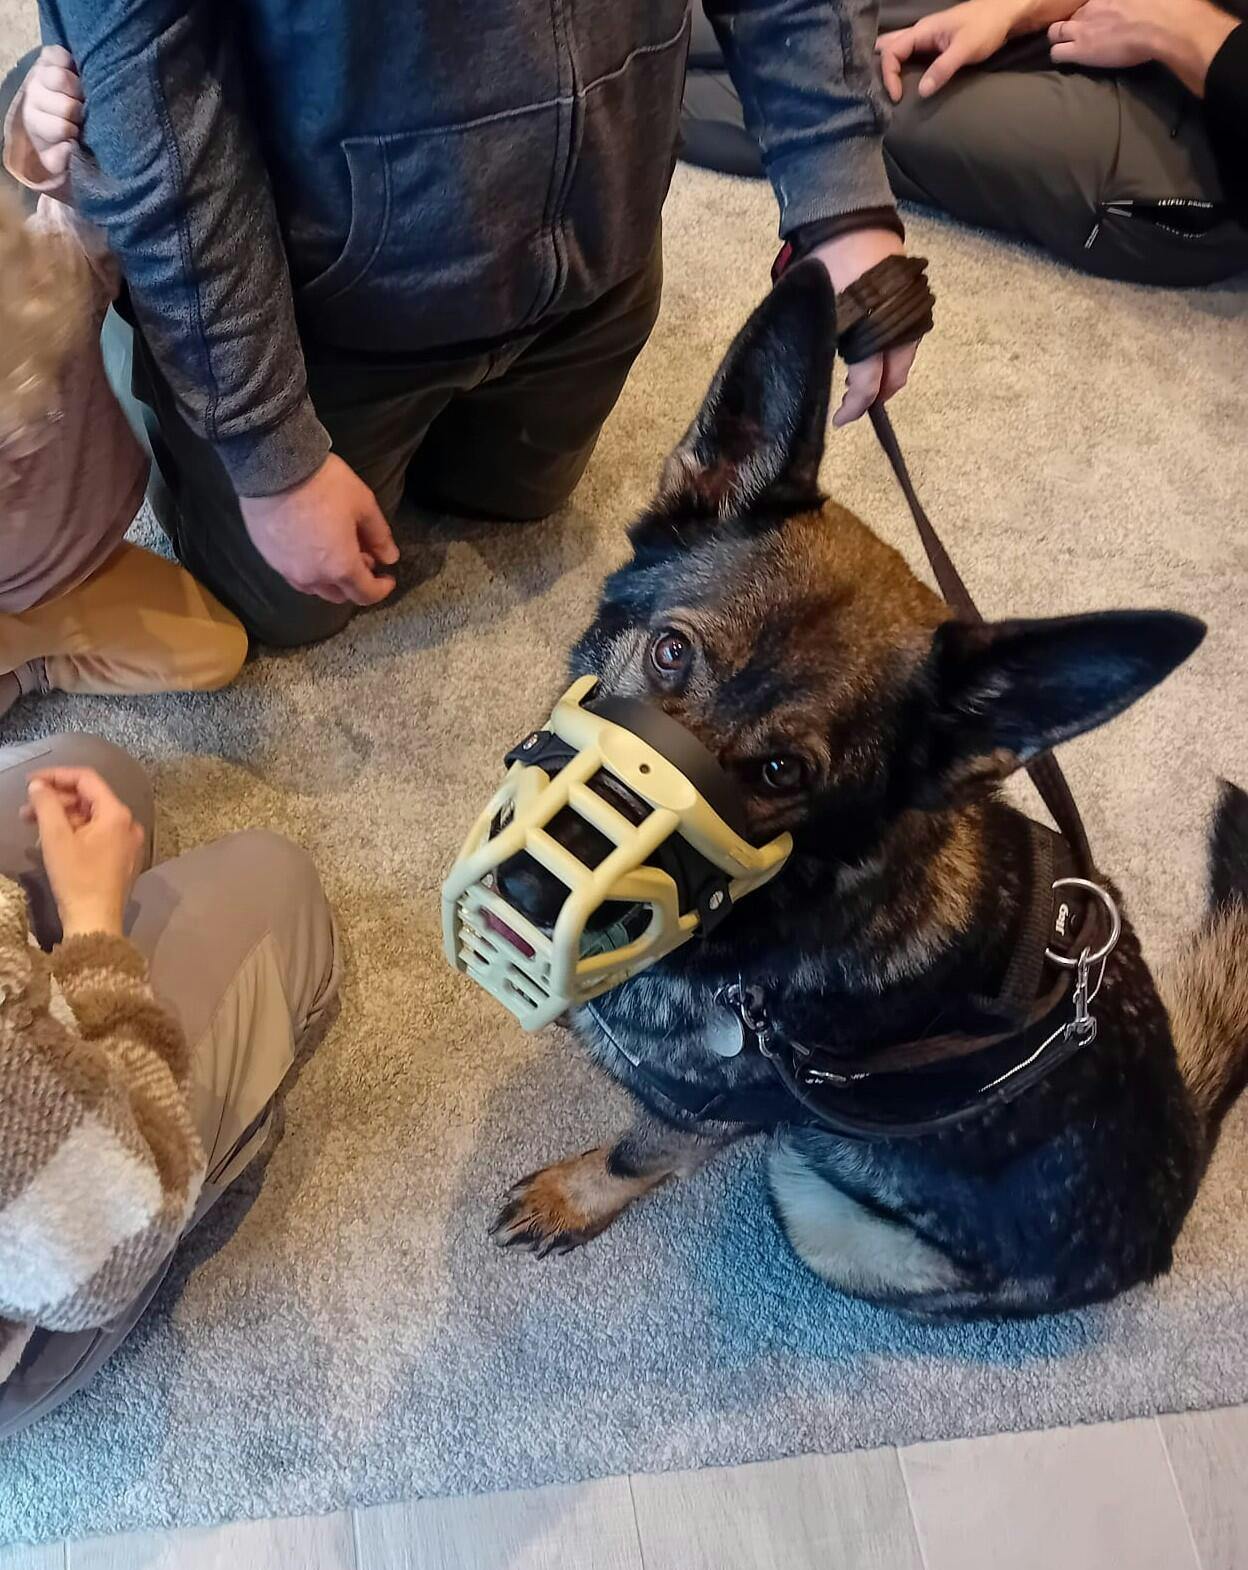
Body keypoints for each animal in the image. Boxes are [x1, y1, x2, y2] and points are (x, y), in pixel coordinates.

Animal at [489, 262, 1248, 1318]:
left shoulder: (717, 1116)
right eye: (671, 653)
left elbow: (640, 1152)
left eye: (779, 774)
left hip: (815, 1206)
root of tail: (1175, 1185)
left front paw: (576, 1192)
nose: (527, 891)